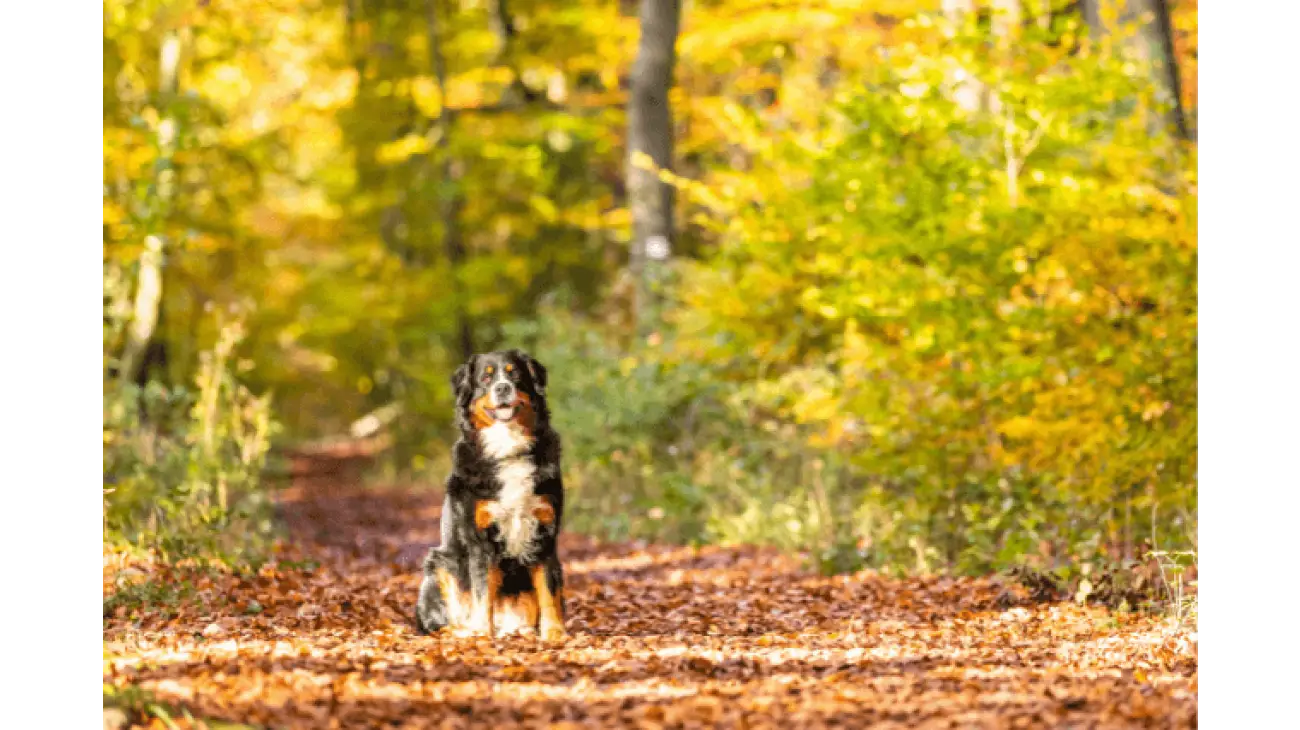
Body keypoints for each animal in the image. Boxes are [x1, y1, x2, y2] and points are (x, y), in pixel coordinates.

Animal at [410, 345, 564, 636]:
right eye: (486, 378)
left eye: (514, 375)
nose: (502, 388)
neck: (508, 450)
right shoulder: (479, 539)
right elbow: (482, 593)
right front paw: (482, 634)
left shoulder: (544, 531)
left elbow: (549, 591)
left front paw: (555, 634)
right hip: (440, 564)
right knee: (442, 622)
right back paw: (463, 632)